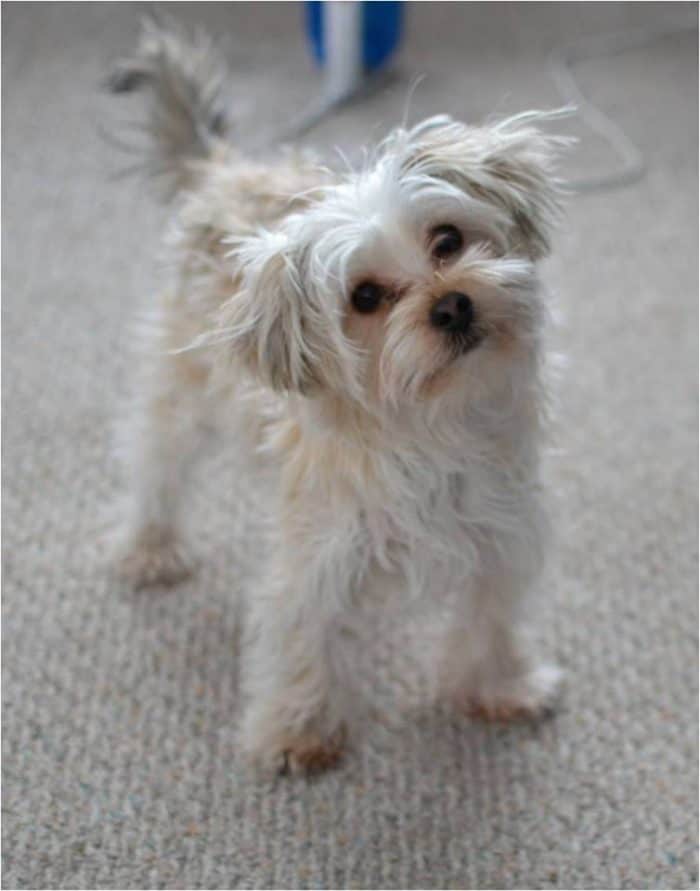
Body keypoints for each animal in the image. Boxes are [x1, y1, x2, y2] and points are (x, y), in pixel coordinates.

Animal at [110, 20, 568, 772]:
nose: (452, 304)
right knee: (155, 465)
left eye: (447, 239)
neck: (434, 429)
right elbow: (304, 636)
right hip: (181, 395)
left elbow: (489, 618)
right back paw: (149, 547)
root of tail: (224, 170)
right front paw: (299, 731)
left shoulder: (498, 532)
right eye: (365, 297)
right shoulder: (317, 554)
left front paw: (498, 686)